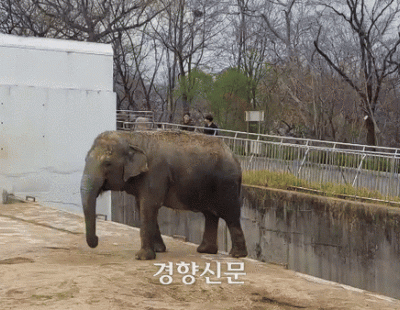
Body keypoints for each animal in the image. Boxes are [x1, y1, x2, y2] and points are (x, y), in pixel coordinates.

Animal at [81, 130, 247, 260]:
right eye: (85, 159)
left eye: (107, 164)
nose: (97, 240)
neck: (131, 138)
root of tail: (233, 155)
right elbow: (142, 206)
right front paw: (159, 250)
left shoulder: (155, 174)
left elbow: (148, 206)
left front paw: (142, 257)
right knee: (210, 214)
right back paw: (205, 250)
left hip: (227, 185)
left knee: (230, 214)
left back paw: (237, 255)